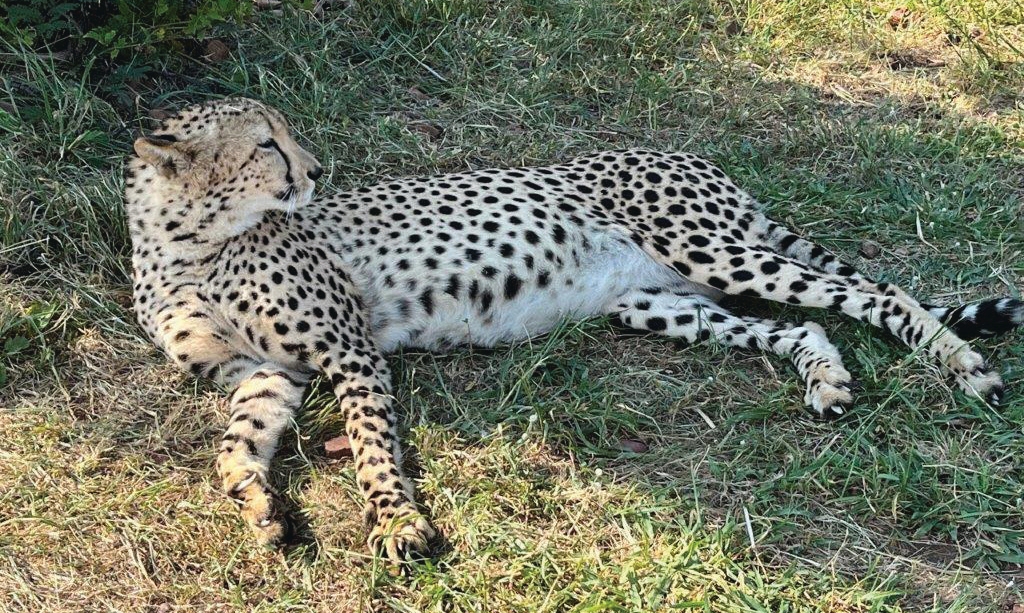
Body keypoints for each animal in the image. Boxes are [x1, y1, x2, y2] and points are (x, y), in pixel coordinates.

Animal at [124, 97, 1023, 564]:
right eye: (267, 144)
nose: (315, 171)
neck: (185, 242)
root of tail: (687, 156)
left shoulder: (348, 346)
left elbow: (373, 445)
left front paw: (398, 522)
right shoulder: (264, 372)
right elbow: (236, 445)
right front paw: (258, 506)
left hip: (712, 247)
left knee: (870, 287)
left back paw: (966, 366)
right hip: (656, 299)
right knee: (801, 323)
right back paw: (827, 376)